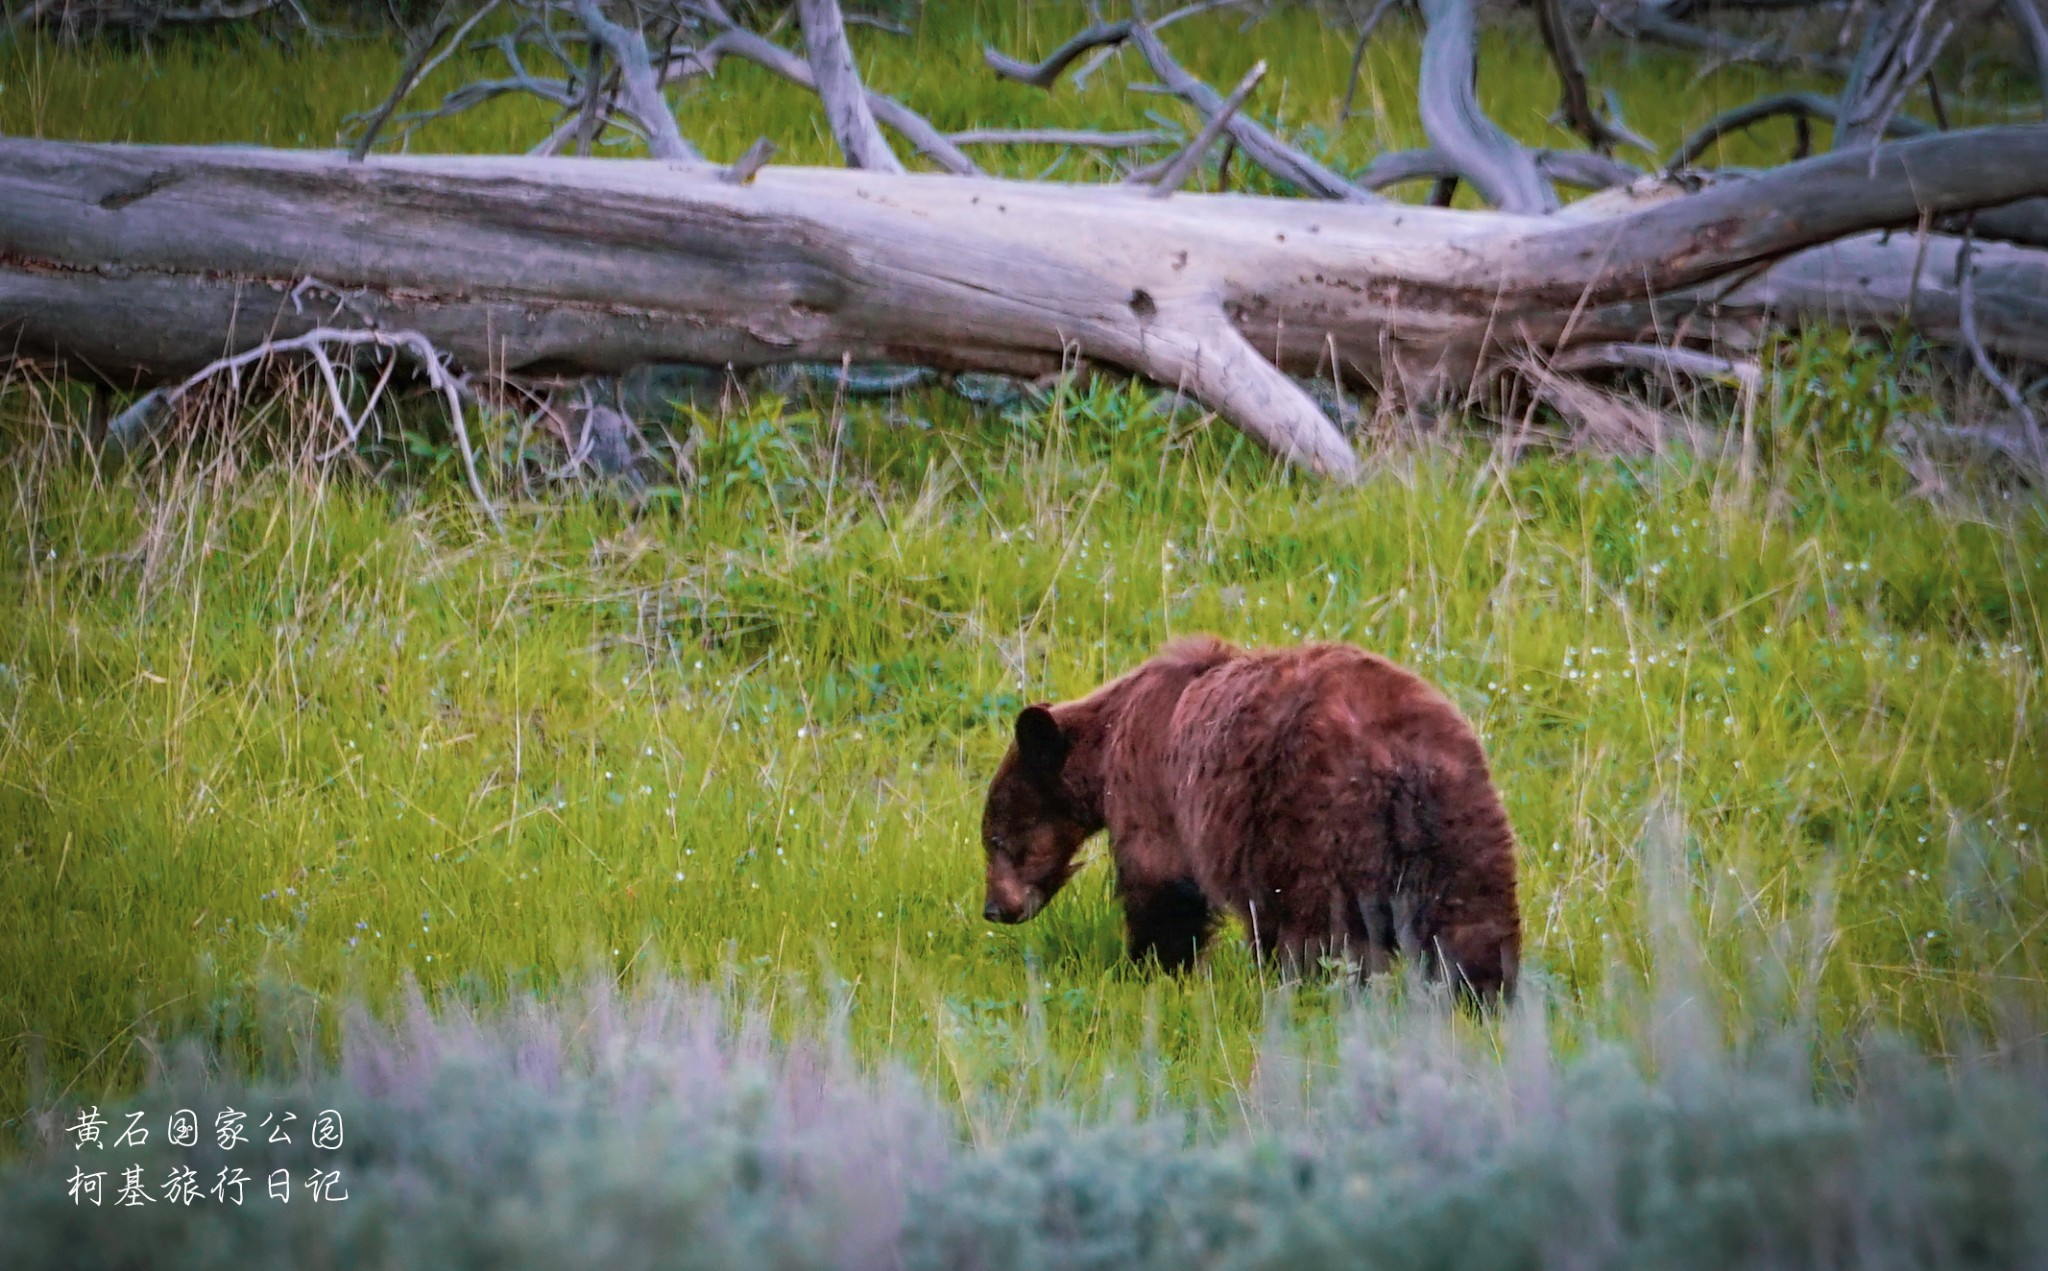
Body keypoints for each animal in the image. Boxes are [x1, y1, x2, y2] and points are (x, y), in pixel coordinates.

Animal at [974, 638, 1523, 994]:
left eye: (995, 839)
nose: (994, 909)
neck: (1106, 743)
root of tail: (1395, 760)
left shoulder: (1151, 787)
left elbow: (1161, 884)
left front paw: (1151, 967)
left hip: (1314, 822)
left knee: (1324, 928)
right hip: (1460, 814)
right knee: (1474, 919)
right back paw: (1486, 994)